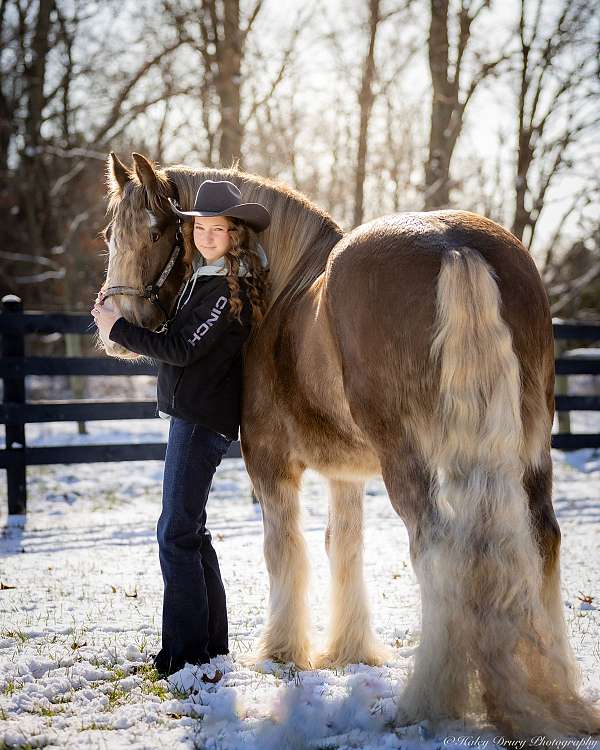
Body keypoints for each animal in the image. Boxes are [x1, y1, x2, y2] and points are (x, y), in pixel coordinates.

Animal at [98, 150, 600, 736]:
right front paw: (350, 652)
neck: (279, 292)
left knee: (436, 547)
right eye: (112, 232)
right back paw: (560, 692)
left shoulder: (270, 465)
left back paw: (426, 703)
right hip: (530, 445)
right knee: (543, 539)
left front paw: (284, 653)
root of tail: (453, 244)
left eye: (156, 232)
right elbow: (345, 546)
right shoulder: (346, 473)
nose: (115, 324)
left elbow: (285, 552)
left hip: (410, 459)